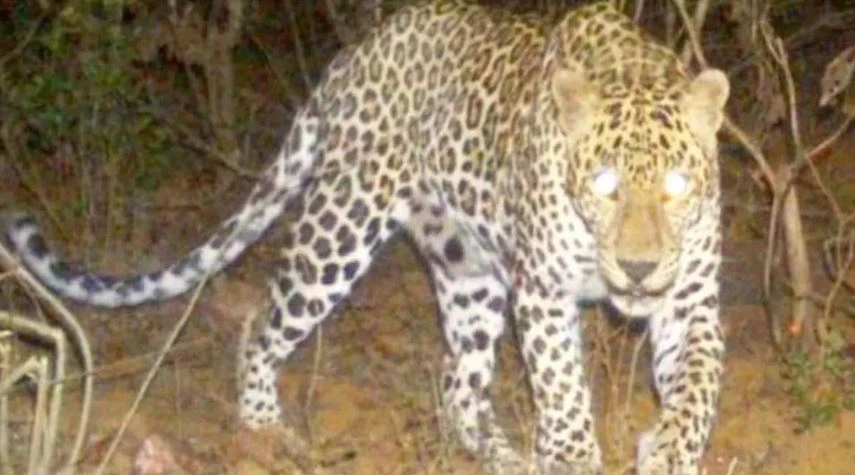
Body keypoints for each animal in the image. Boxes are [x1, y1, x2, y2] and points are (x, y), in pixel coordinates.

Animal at [5, 1, 729, 473]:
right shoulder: (545, 293)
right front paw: (575, 456)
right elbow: (562, 390)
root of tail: (358, 51)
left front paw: (667, 450)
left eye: (675, 184)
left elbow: (695, 386)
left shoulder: (690, 300)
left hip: (468, 273)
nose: (637, 268)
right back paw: (264, 429)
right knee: (263, 321)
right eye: (604, 184)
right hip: (340, 225)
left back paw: (504, 455)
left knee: (456, 384)